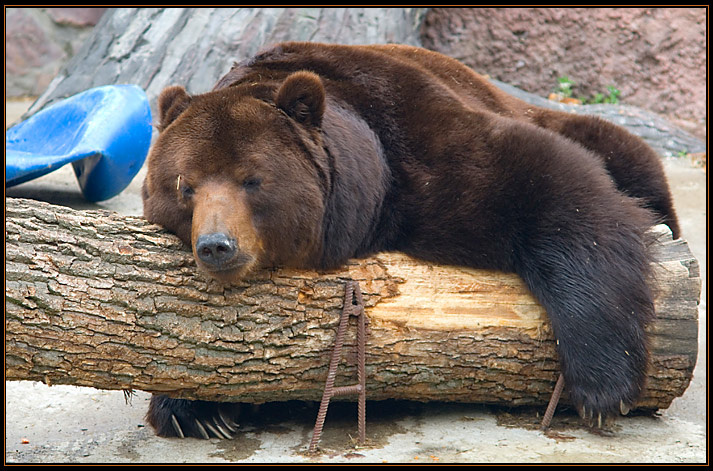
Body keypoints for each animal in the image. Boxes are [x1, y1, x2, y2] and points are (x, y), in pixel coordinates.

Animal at [141, 42, 680, 438]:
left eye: (252, 179)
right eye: (185, 185)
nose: (216, 245)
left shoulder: (417, 146)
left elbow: (553, 187)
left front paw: (603, 388)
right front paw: (197, 409)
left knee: (625, 153)